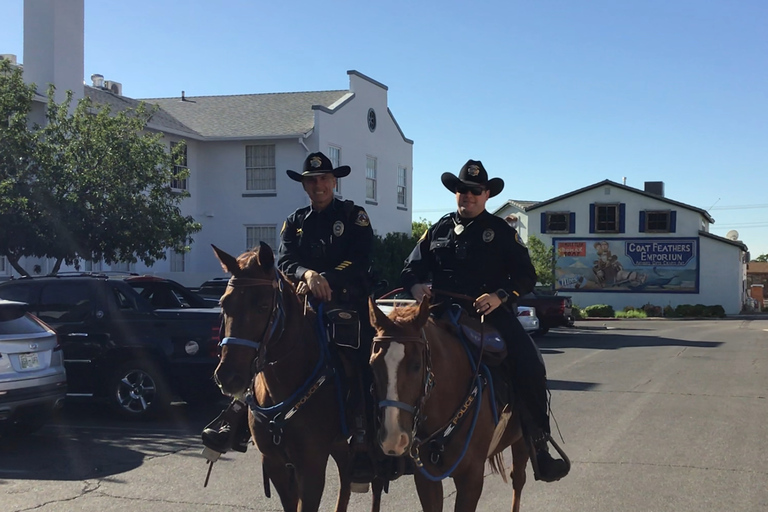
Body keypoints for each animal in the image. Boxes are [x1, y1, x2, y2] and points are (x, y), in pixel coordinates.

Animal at [368, 296, 532, 512]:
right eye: (373, 364)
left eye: (416, 365)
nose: (393, 439)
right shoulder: (426, 478)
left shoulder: (471, 479)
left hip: (522, 441)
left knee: (518, 478)